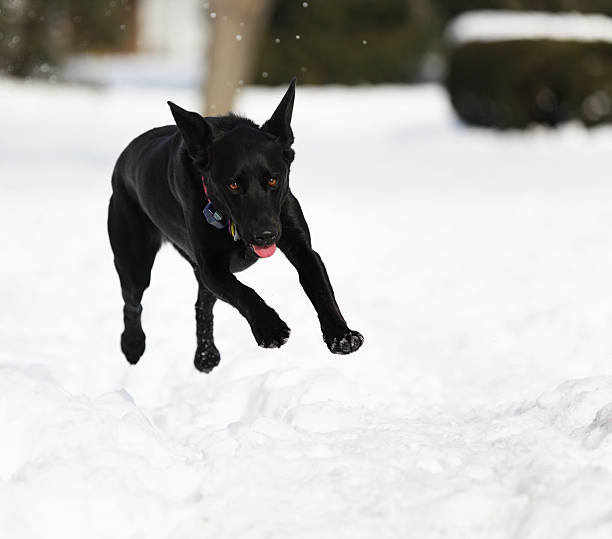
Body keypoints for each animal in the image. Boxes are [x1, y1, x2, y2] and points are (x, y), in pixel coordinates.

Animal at [107, 80, 364, 374]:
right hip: (133, 258)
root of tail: (124, 158)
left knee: (202, 306)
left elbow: (321, 288)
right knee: (132, 302)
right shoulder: (211, 267)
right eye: (232, 185)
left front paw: (342, 336)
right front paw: (270, 328)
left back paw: (205, 356)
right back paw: (133, 345)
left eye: (273, 180)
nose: (265, 235)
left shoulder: (300, 244)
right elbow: (243, 291)